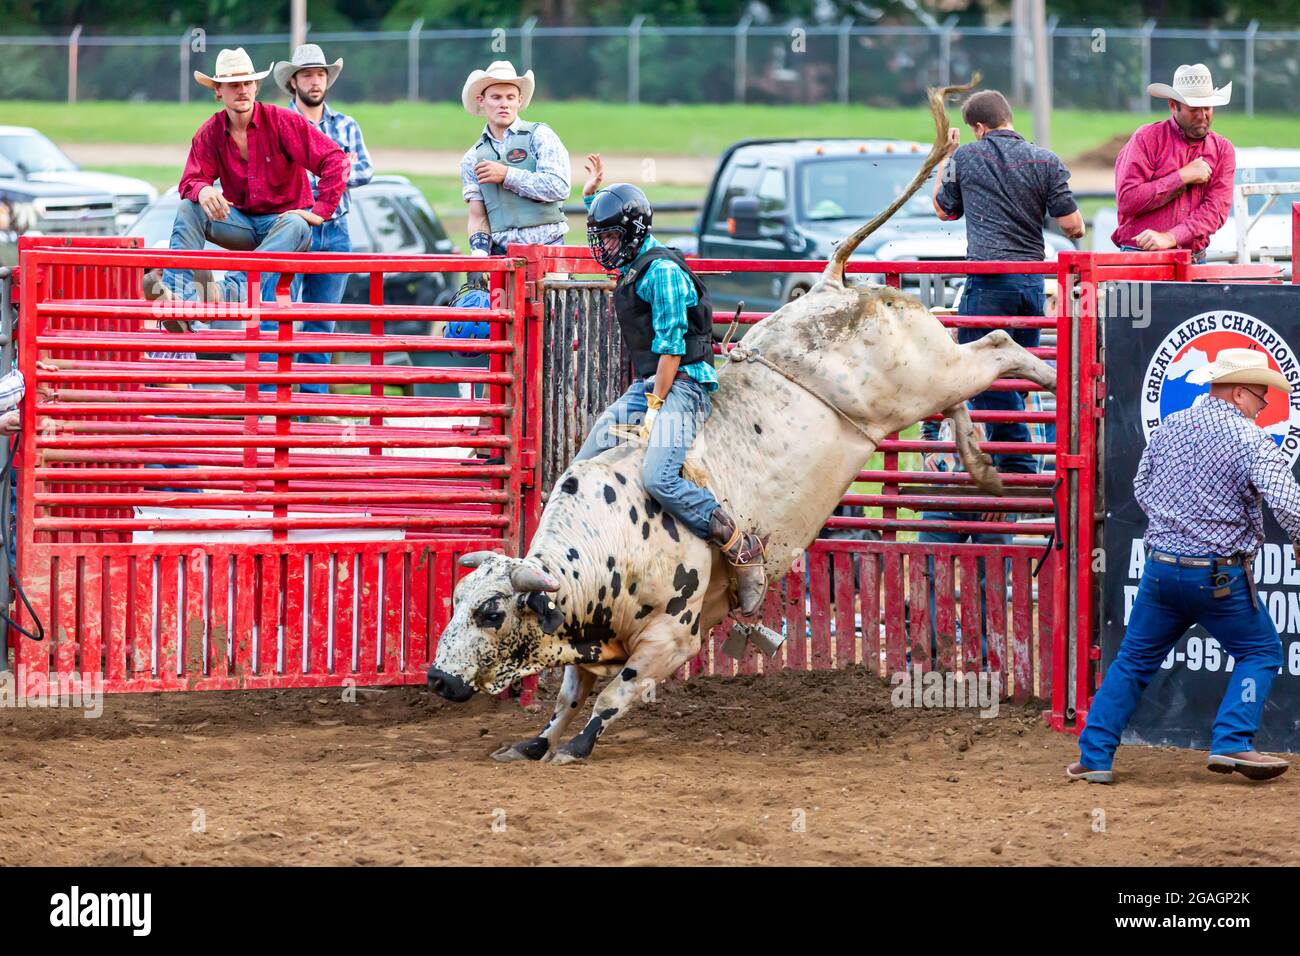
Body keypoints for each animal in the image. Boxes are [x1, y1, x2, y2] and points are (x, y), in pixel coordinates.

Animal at [426, 80, 1055, 770]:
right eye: (456, 601)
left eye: (490, 612)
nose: (438, 678)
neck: (607, 544)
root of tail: (831, 283)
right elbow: (567, 695)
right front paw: (534, 742)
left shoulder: (672, 636)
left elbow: (613, 696)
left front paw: (578, 745)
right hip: (929, 377)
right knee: (967, 384)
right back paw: (978, 461)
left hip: (919, 376)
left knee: (997, 344)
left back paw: (1048, 382)